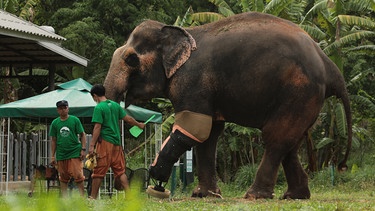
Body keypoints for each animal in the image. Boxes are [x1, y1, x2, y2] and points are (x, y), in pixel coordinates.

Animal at [103, 11, 352, 199]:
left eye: (131, 60)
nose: (156, 185)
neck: (181, 32)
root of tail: (329, 64)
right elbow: (208, 134)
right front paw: (204, 195)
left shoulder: (192, 81)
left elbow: (195, 128)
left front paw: (157, 174)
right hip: (306, 100)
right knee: (291, 143)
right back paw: (294, 196)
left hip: (299, 92)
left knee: (276, 138)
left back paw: (255, 196)